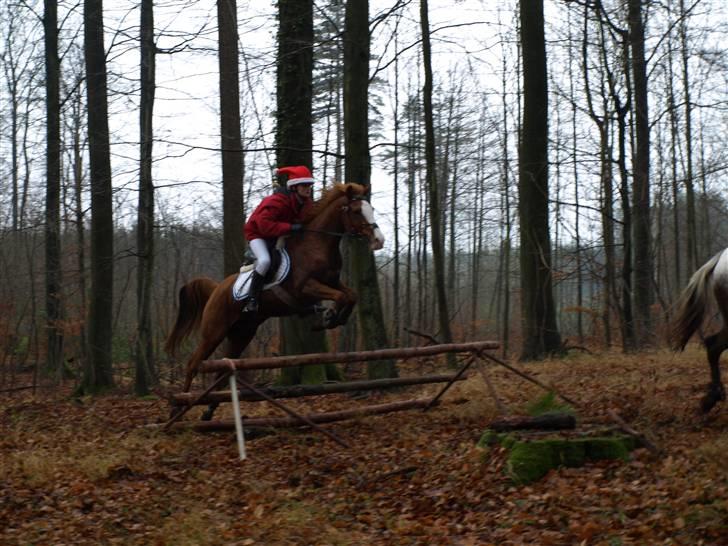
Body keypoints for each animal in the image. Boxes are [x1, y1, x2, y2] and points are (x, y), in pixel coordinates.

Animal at [166, 182, 386, 392]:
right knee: (193, 364)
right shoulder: (305, 287)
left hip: (242, 333)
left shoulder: (332, 282)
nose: (379, 241)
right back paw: (183, 401)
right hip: (214, 332)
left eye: (372, 208)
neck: (317, 246)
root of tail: (217, 288)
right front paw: (328, 317)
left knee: (221, 372)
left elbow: (351, 295)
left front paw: (336, 318)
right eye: (356, 211)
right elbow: (340, 297)